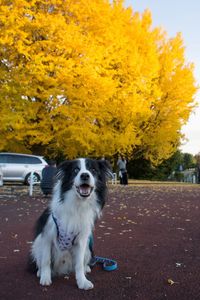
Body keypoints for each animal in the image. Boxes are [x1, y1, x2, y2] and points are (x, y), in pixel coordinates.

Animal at [30, 158, 111, 290]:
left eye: (93, 170)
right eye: (75, 170)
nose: (85, 175)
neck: (77, 204)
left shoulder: (82, 240)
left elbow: (79, 264)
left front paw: (82, 281)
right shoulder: (47, 236)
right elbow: (46, 260)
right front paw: (45, 278)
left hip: (88, 247)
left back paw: (86, 268)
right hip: (37, 244)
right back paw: (40, 271)